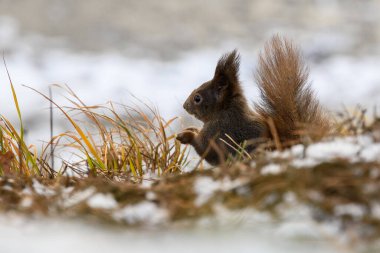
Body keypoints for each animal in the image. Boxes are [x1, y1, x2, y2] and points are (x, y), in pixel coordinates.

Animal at [177, 36, 330, 166]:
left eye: (197, 98)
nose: (185, 106)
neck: (223, 112)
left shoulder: (218, 133)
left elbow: (204, 148)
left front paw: (186, 135)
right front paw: (191, 129)